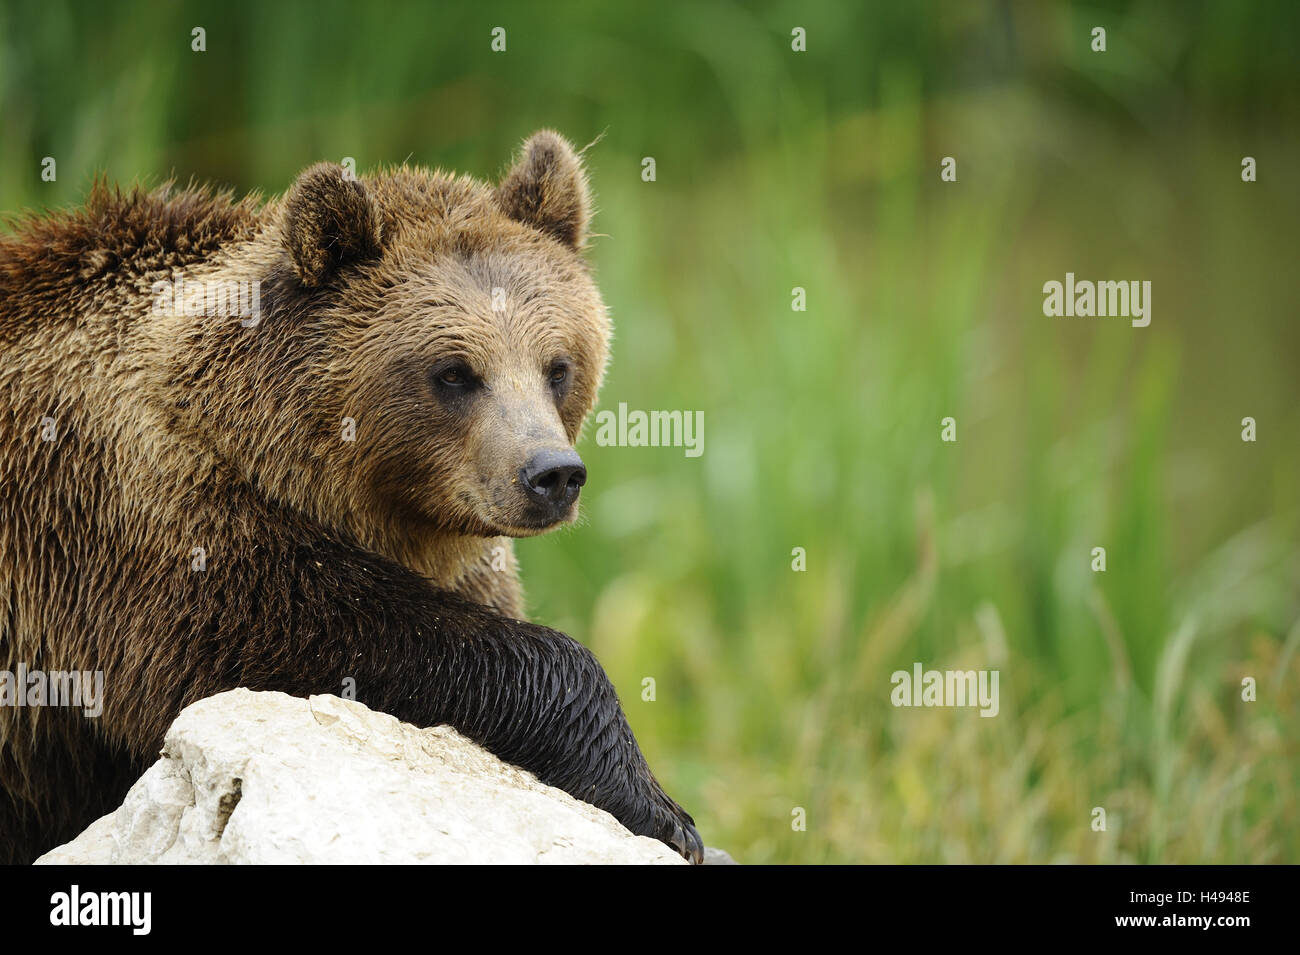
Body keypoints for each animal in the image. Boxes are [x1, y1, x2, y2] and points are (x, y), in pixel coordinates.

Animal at [0, 130, 703, 864]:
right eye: (454, 372)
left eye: (557, 366)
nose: (552, 473)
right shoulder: (124, 512)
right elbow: (270, 631)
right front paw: (656, 803)